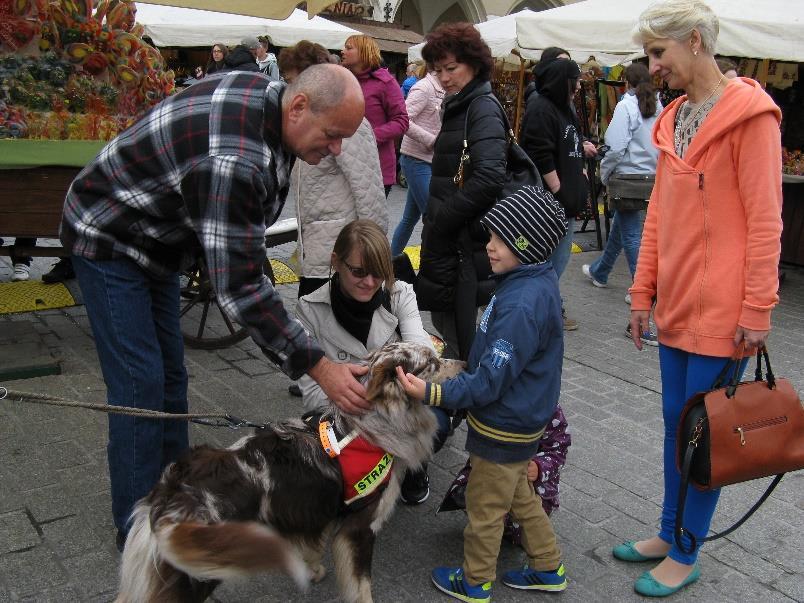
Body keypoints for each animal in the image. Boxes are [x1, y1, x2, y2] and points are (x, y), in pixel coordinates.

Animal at [116, 342, 462, 600]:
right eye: (431, 363)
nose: (463, 362)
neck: (371, 426)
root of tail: (168, 497)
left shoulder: (316, 510)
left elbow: (313, 545)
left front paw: (312, 571)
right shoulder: (360, 526)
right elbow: (361, 586)